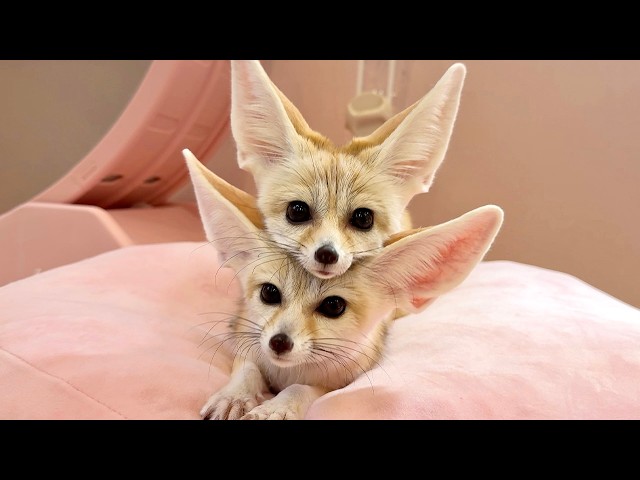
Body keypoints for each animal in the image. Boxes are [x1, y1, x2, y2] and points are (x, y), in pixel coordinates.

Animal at [185, 152, 504, 420]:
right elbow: (248, 368)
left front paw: (277, 407)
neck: (286, 373)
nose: (279, 342)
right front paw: (235, 395)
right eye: (269, 292)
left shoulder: (340, 382)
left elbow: (303, 389)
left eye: (333, 306)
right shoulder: (246, 337)